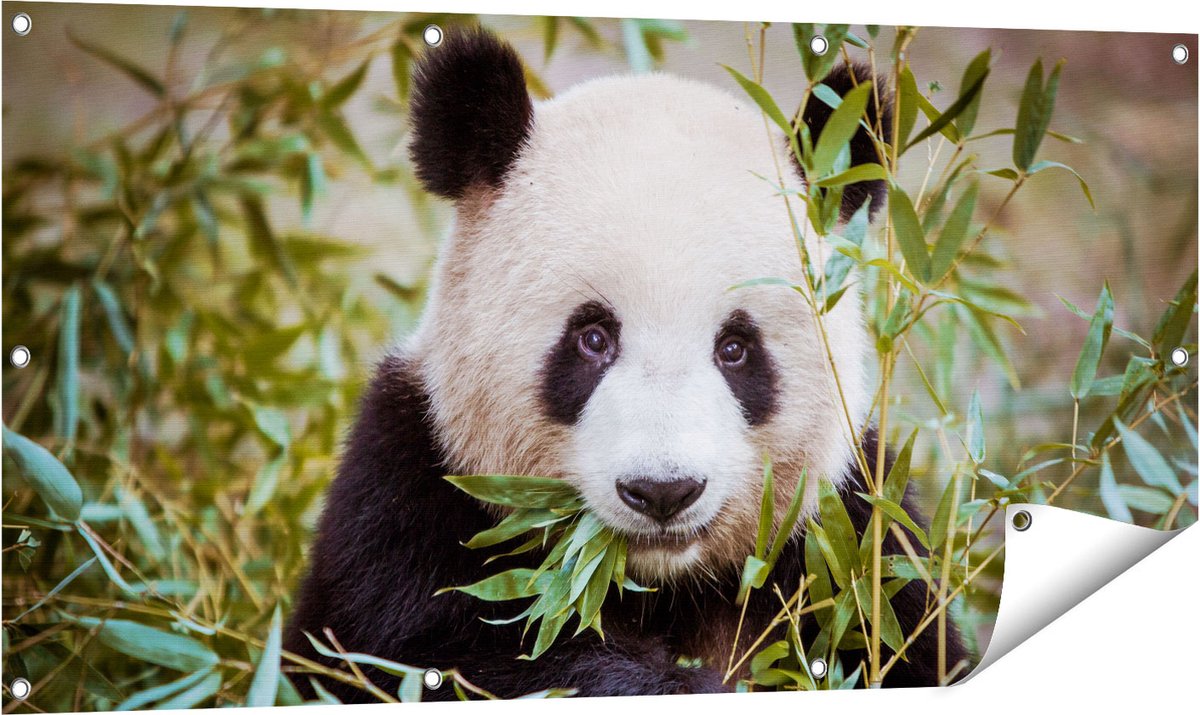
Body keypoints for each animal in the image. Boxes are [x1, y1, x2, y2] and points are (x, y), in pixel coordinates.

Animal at [284, 26, 967, 700]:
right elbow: (442, 656)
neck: (653, 584)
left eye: (735, 348)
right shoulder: (407, 496)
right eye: (592, 338)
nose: (663, 491)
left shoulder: (856, 539)